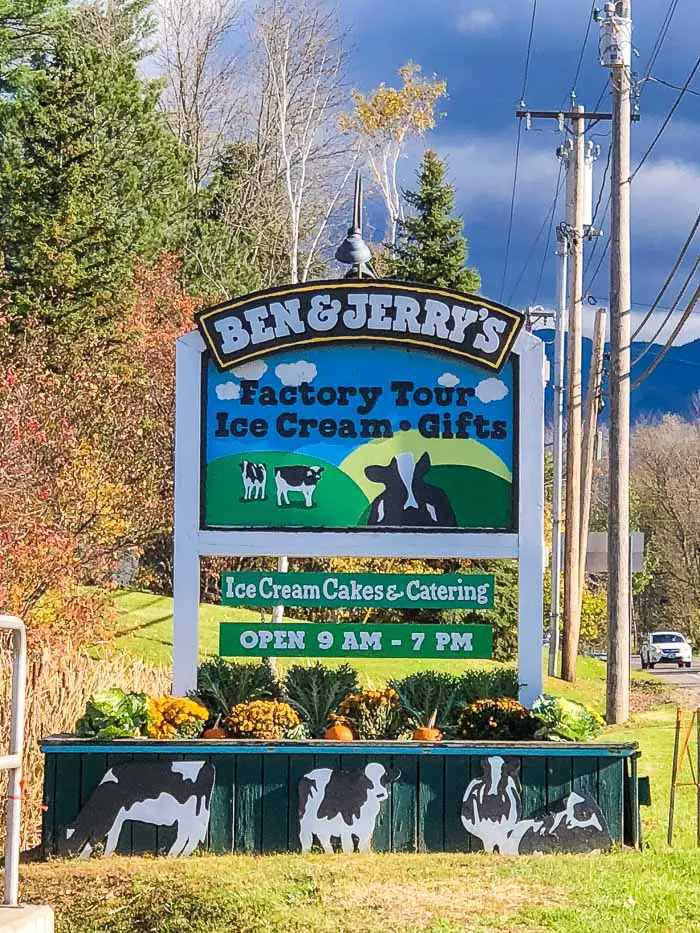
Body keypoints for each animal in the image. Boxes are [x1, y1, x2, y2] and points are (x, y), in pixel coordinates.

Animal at [58, 760, 215, 856]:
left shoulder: (109, 817)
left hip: (187, 813)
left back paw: (172, 855)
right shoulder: (118, 818)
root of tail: (207, 764)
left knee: (186, 834)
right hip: (197, 812)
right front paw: (106, 855)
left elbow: (96, 838)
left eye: (68, 839)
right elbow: (112, 838)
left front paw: (83, 858)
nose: (61, 854)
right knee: (193, 834)